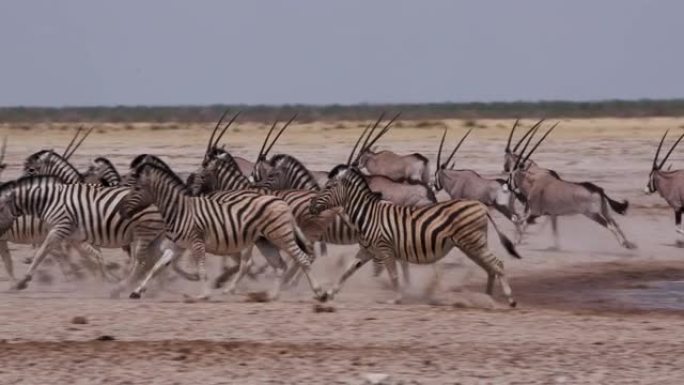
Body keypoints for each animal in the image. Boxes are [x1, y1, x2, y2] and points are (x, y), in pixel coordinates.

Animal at [119, 162, 324, 300]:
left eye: (137, 188)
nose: (121, 208)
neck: (179, 210)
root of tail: (282, 202)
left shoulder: (196, 242)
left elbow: (201, 270)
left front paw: (204, 295)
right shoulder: (178, 245)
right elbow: (157, 267)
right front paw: (136, 291)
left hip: (282, 236)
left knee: (302, 259)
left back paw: (319, 292)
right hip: (265, 241)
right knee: (280, 266)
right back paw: (272, 295)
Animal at [308, 165, 520, 306]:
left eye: (328, 187)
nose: (311, 206)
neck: (368, 215)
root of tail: (481, 206)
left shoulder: (385, 249)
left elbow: (393, 275)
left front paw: (396, 298)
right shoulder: (367, 251)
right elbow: (347, 271)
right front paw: (328, 294)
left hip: (473, 243)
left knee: (497, 264)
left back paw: (509, 299)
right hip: (470, 245)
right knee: (490, 268)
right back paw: (487, 297)